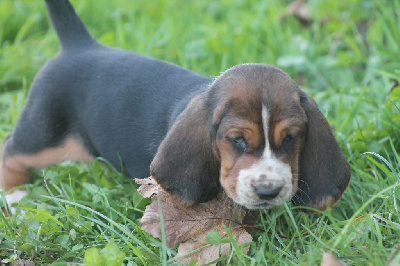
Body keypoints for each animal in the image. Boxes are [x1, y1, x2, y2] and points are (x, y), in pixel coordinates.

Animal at [0, 0, 350, 212]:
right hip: (44, 135)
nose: (268, 192)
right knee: (11, 149)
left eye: (290, 139)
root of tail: (79, 44)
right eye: (237, 140)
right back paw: (16, 198)